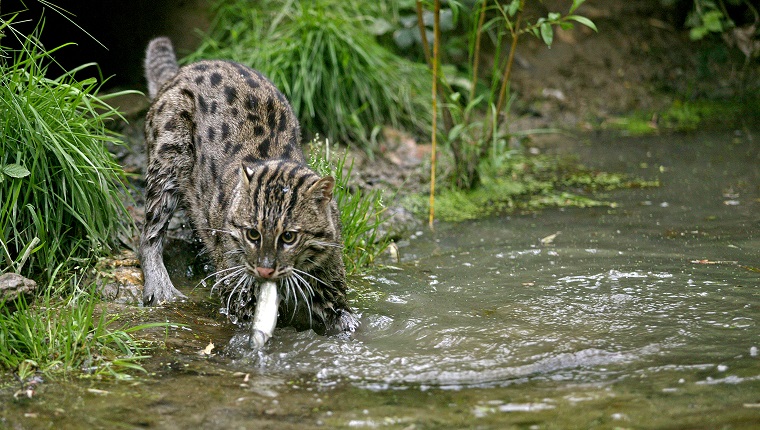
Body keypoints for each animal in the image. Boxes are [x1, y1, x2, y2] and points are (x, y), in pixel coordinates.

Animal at [140, 37, 360, 334]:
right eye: (252, 234)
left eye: (289, 237)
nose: (265, 270)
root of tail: (180, 73)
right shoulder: (235, 283)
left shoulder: (328, 274)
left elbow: (344, 314)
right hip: (169, 154)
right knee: (150, 232)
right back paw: (160, 286)